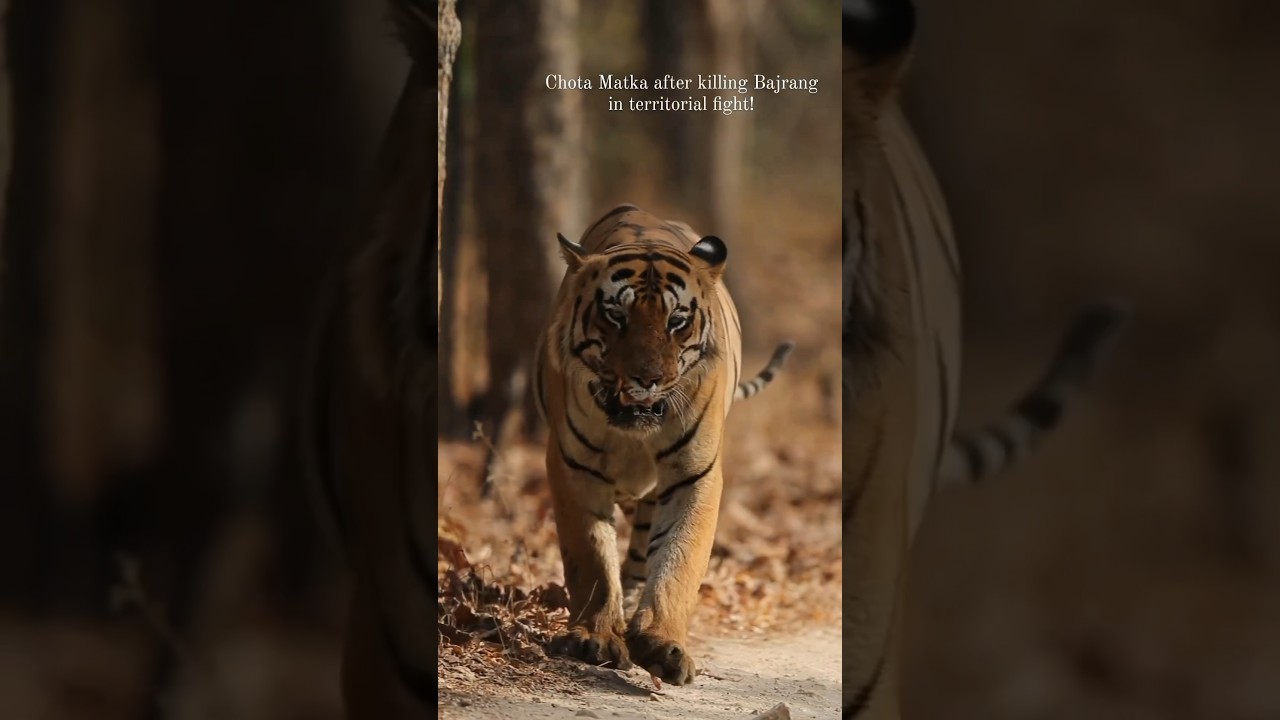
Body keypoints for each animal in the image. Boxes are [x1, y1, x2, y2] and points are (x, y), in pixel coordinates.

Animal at [533, 204, 794, 685]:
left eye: (677, 321)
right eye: (616, 316)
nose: (647, 378)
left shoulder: (695, 475)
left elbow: (679, 558)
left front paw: (660, 643)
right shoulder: (573, 467)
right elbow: (591, 556)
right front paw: (594, 638)